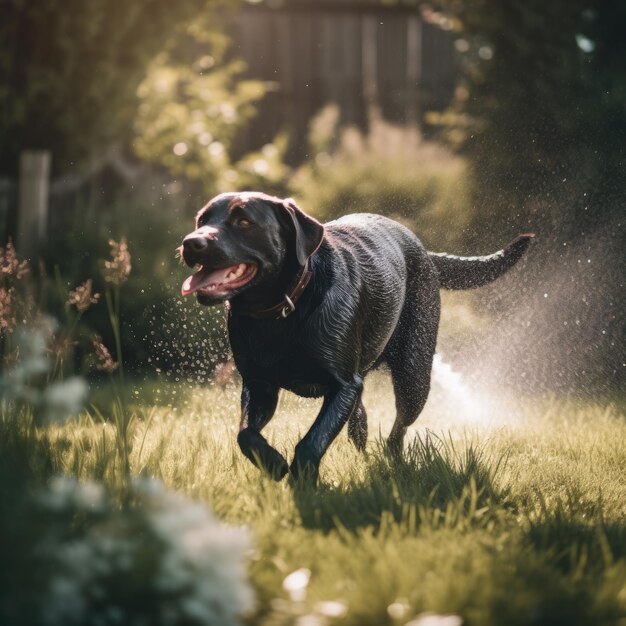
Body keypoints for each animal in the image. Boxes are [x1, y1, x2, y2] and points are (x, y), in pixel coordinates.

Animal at [179, 193, 532, 480]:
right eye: (202, 220)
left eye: (243, 221)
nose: (190, 242)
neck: (285, 311)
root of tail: (426, 253)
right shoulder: (259, 384)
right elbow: (246, 435)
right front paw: (274, 464)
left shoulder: (342, 385)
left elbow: (310, 443)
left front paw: (302, 485)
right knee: (360, 419)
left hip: (414, 375)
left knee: (399, 427)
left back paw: (392, 460)